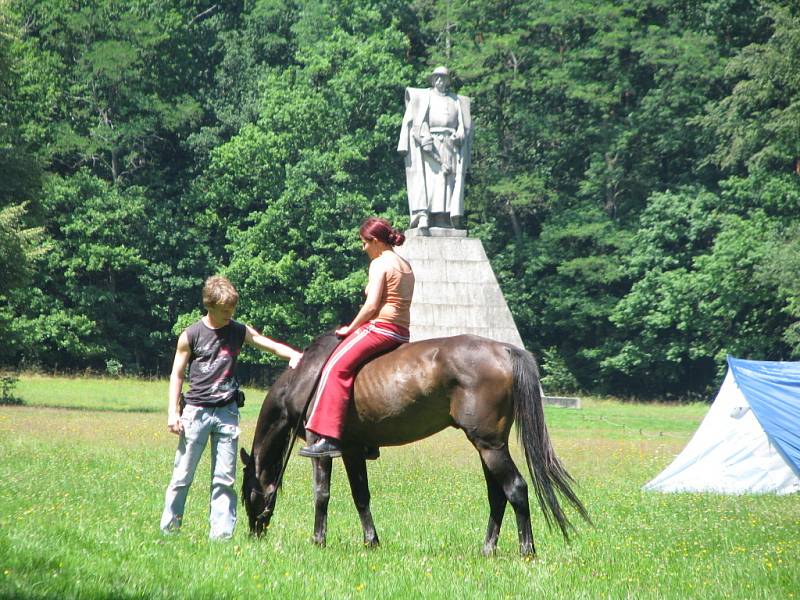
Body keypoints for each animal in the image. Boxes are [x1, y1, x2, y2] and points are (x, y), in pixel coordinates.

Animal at [238, 330, 588, 556]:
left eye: (245, 493)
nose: (253, 533)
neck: (308, 377)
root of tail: (503, 350)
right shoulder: (351, 450)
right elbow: (361, 496)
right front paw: (371, 541)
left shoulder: (319, 446)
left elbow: (321, 494)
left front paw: (318, 540)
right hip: (489, 447)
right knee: (498, 495)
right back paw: (488, 549)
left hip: (489, 446)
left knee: (515, 488)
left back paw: (527, 550)